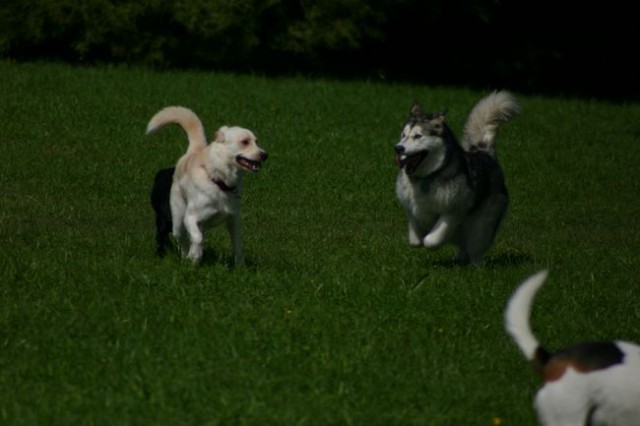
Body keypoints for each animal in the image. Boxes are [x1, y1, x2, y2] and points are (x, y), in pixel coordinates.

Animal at [146, 105, 268, 266]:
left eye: (256, 142)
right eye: (245, 141)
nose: (265, 155)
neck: (219, 182)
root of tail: (193, 151)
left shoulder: (233, 219)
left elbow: (238, 244)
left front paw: (240, 267)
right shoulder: (190, 217)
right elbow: (197, 238)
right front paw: (195, 257)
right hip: (177, 221)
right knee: (182, 239)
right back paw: (186, 256)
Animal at [396, 90, 520, 262]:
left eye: (418, 136)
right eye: (403, 135)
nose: (398, 148)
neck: (428, 177)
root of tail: (484, 153)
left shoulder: (454, 210)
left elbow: (431, 240)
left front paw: (432, 243)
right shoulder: (411, 206)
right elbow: (415, 239)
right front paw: (418, 237)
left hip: (481, 226)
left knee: (475, 248)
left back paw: (476, 264)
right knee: (463, 247)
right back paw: (460, 259)